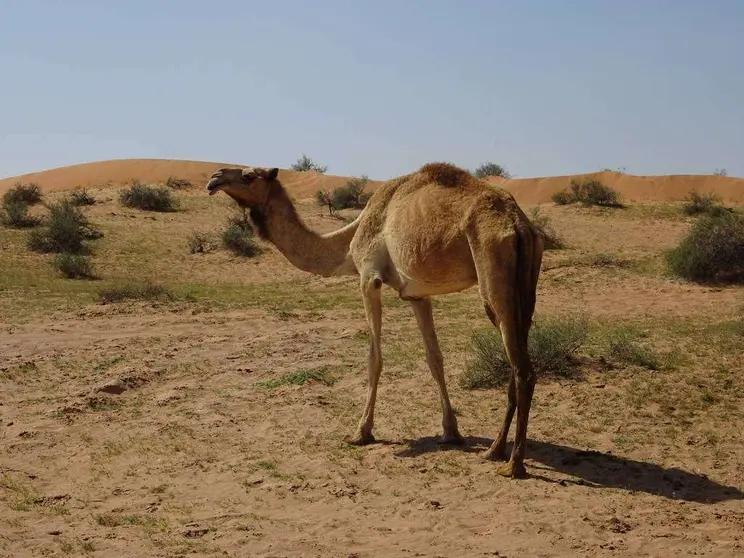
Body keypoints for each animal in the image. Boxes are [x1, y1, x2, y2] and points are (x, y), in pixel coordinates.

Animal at [206, 163, 544, 482]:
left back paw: (513, 465)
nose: (215, 177)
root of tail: (519, 225)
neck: (350, 239)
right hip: (525, 290)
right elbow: (434, 359)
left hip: (493, 274)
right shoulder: (416, 294)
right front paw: (450, 432)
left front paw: (361, 431)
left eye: (249, 176)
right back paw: (494, 450)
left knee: (522, 369)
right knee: (518, 360)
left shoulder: (369, 279)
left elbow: (374, 358)